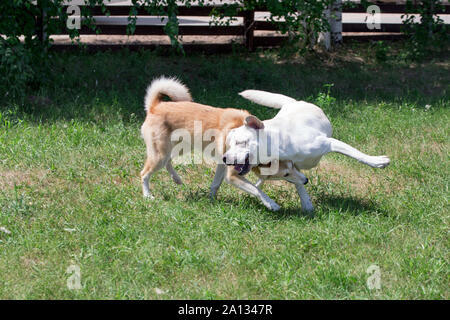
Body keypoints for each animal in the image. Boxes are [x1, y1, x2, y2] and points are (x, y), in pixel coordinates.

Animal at [141, 77, 282, 210]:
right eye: (239, 143)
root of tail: (155, 106)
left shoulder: (222, 163)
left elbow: (215, 184)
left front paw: (212, 200)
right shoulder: (231, 174)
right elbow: (256, 190)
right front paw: (271, 204)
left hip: (179, 148)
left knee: (168, 162)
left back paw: (176, 179)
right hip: (160, 154)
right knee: (144, 174)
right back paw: (148, 196)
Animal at [224, 89, 390, 212]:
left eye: (241, 142)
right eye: (229, 144)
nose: (224, 158)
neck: (280, 143)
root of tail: (293, 103)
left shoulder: (329, 143)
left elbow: (357, 154)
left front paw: (377, 161)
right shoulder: (292, 166)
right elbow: (298, 183)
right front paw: (306, 203)